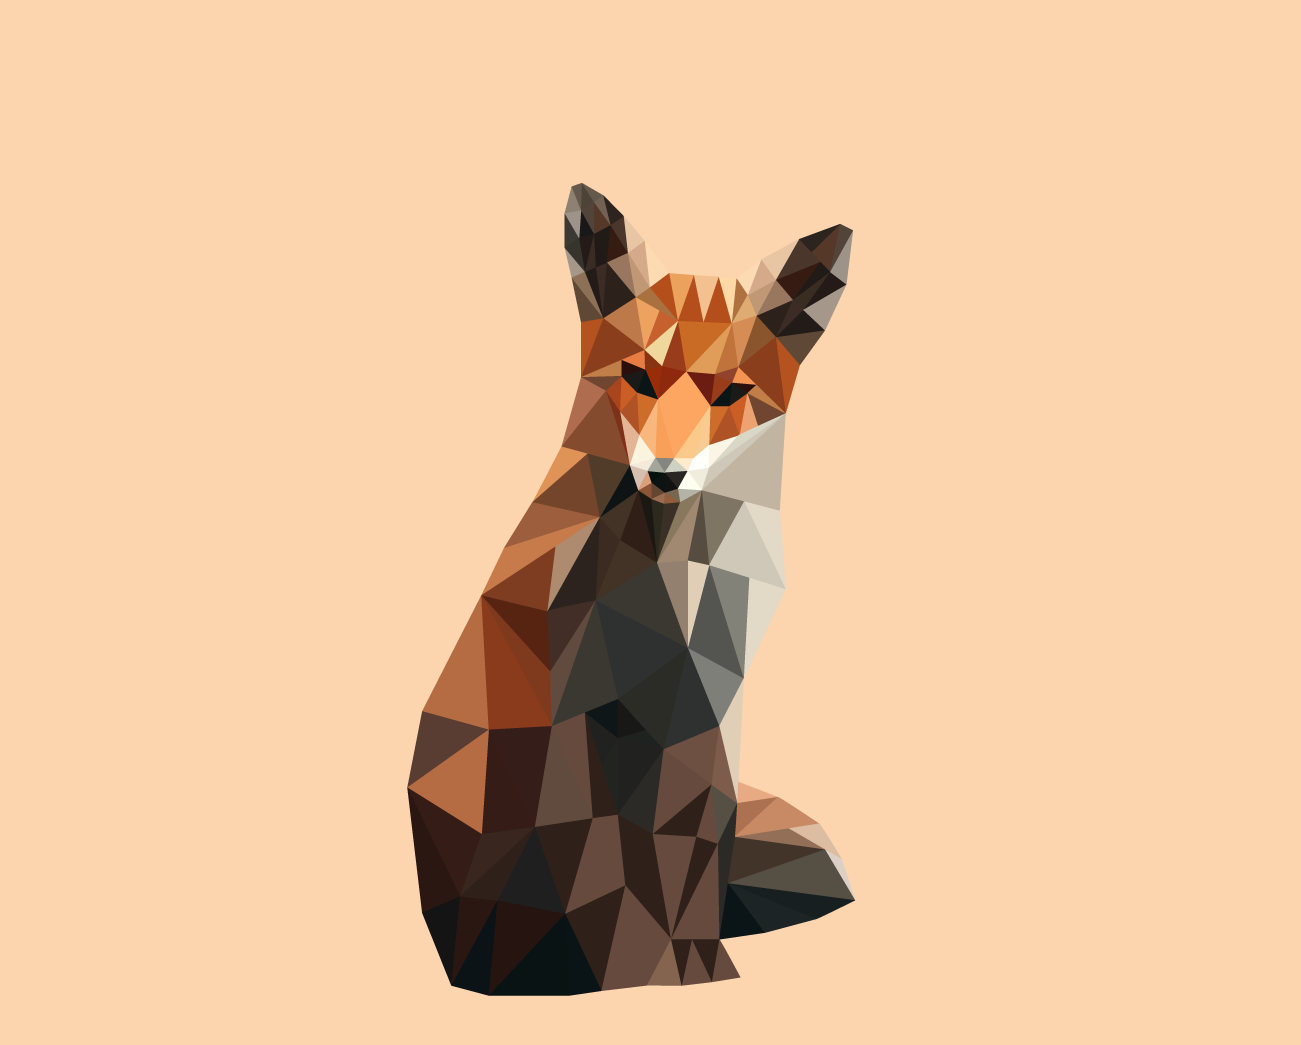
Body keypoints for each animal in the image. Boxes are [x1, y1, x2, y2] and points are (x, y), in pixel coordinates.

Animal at [408, 184, 854, 995]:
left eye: (731, 394)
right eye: (637, 378)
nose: (666, 474)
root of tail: (468, 962)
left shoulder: (715, 699)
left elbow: (706, 850)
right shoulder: (668, 713)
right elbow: (682, 868)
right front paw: (701, 975)